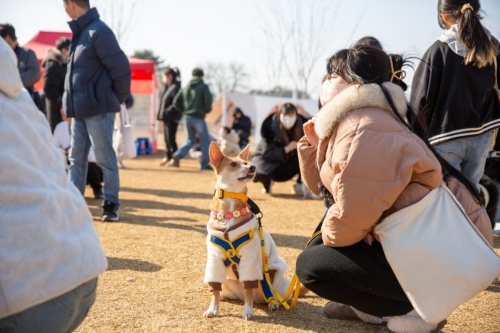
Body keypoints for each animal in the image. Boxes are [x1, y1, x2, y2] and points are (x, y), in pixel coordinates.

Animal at [204, 142, 292, 320]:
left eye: (246, 162)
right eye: (233, 164)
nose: (252, 167)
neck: (229, 211)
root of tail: (261, 300)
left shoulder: (249, 258)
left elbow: (248, 289)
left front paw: (248, 311)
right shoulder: (215, 258)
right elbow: (215, 289)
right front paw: (213, 308)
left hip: (277, 280)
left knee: (273, 294)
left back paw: (273, 303)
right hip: (229, 282)